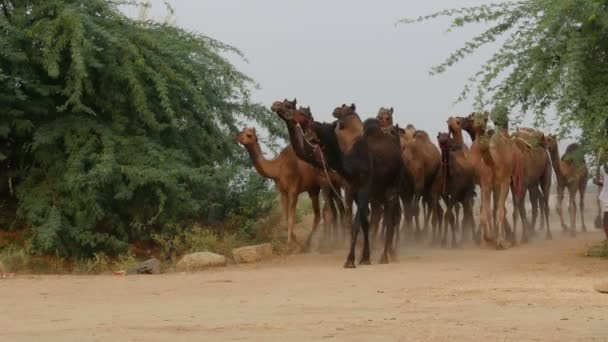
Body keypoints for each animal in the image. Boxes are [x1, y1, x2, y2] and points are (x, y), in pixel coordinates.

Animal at [274, 100, 408, 268]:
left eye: (303, 114)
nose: (279, 108)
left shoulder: (361, 189)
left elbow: (354, 222)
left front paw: (349, 259)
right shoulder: (348, 188)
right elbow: (360, 221)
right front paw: (364, 257)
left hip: (394, 185)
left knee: (392, 217)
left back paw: (386, 255)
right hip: (378, 191)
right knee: (383, 215)